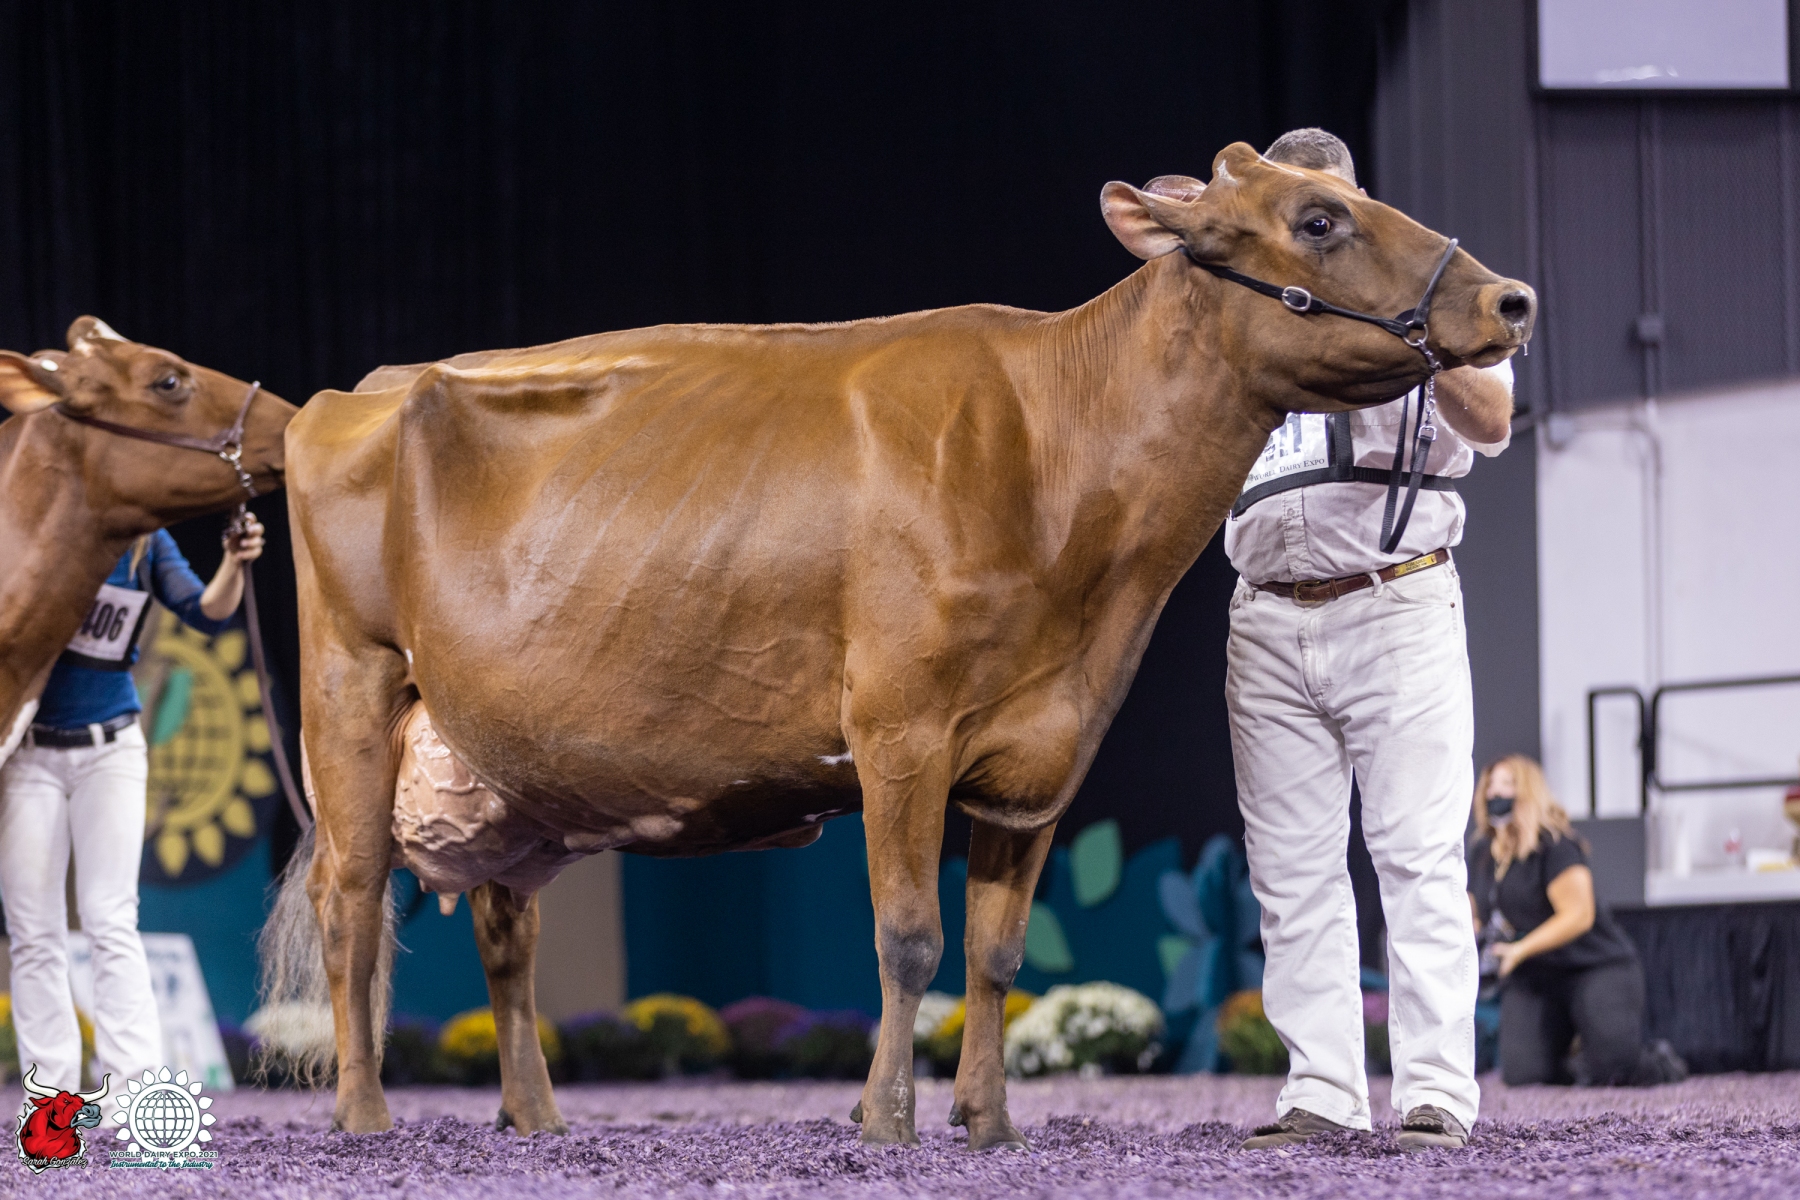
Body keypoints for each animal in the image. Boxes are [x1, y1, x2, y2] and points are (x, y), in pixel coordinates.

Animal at [268, 142, 1535, 1146]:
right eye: (1318, 219)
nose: (1511, 300)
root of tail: (352, 391)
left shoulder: (1045, 753)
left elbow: (997, 954)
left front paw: (989, 1121)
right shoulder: (899, 731)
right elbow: (911, 939)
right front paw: (887, 1118)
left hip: (502, 754)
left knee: (504, 925)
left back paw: (533, 1116)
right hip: (351, 689)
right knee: (353, 899)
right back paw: (364, 1114)